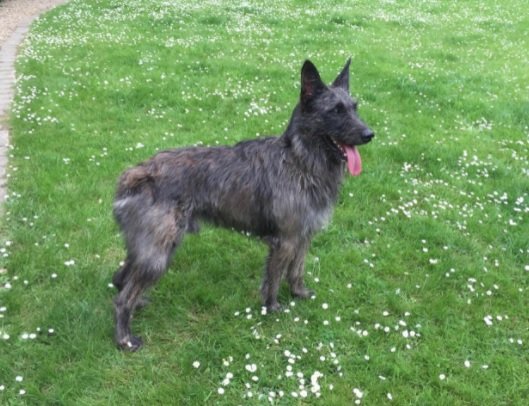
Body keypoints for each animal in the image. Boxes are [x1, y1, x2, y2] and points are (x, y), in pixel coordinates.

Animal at [113, 58, 374, 350]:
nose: (369, 134)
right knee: (122, 297)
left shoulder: (304, 236)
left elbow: (297, 271)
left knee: (121, 279)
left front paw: (299, 293)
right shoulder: (285, 241)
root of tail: (137, 174)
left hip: (151, 248)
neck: (300, 161)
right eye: (335, 111)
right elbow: (274, 280)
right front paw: (273, 309)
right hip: (157, 254)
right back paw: (124, 338)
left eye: (354, 107)